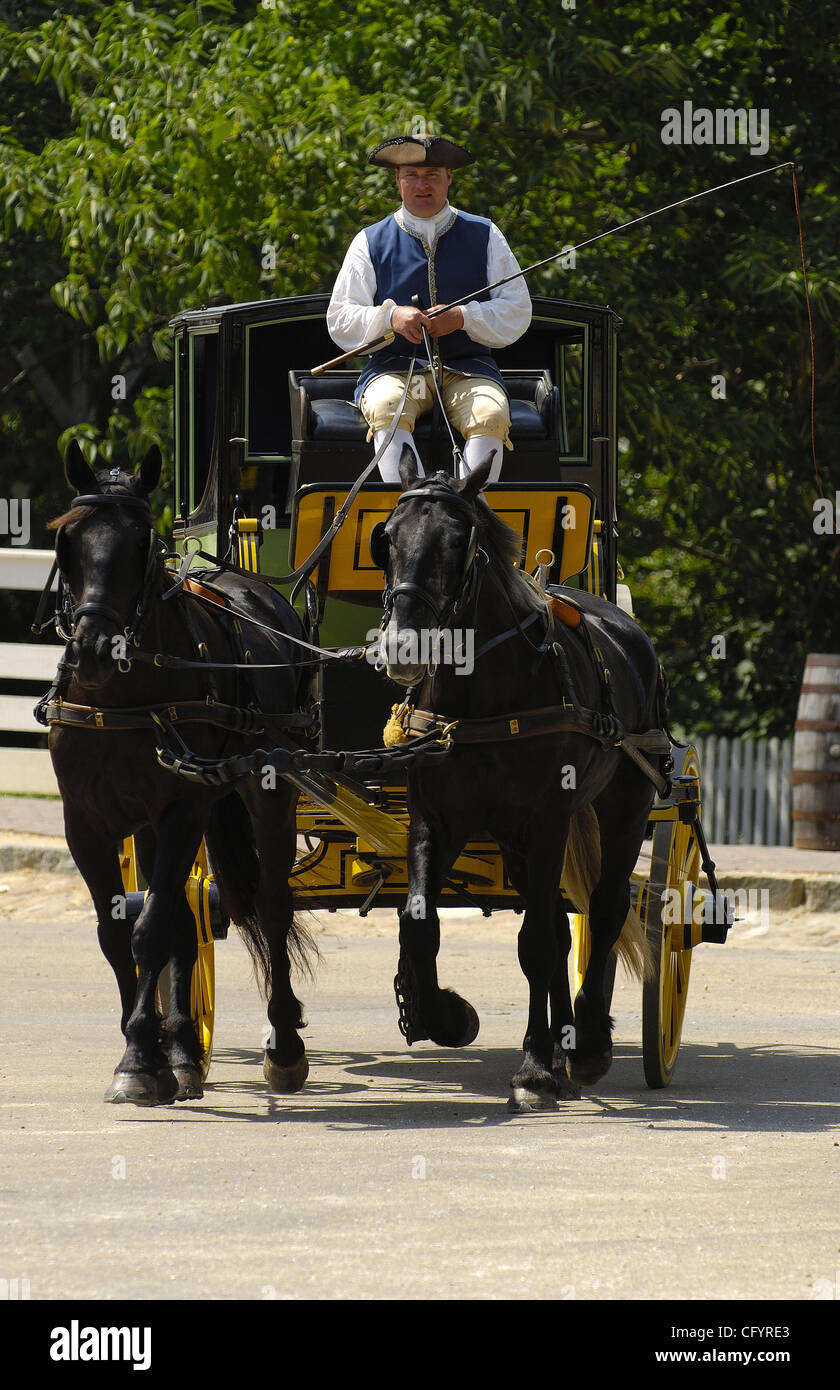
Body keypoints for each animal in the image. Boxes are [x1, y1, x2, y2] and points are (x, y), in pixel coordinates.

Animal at [45, 444, 314, 1106]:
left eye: (142, 545)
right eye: (68, 542)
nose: (93, 650)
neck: (119, 698)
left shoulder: (182, 810)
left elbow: (152, 928)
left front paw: (140, 1061)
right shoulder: (85, 822)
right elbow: (120, 932)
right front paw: (148, 1049)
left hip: (268, 792)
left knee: (272, 904)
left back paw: (284, 1043)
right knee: (189, 921)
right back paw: (185, 1049)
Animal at [369, 450, 664, 1112]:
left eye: (459, 542)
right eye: (387, 537)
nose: (403, 648)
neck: (483, 694)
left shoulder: (548, 817)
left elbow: (536, 943)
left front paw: (532, 1068)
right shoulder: (436, 819)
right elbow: (419, 923)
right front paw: (441, 1015)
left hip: (624, 806)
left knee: (604, 910)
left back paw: (585, 1046)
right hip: (516, 840)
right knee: (557, 922)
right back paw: (563, 1044)